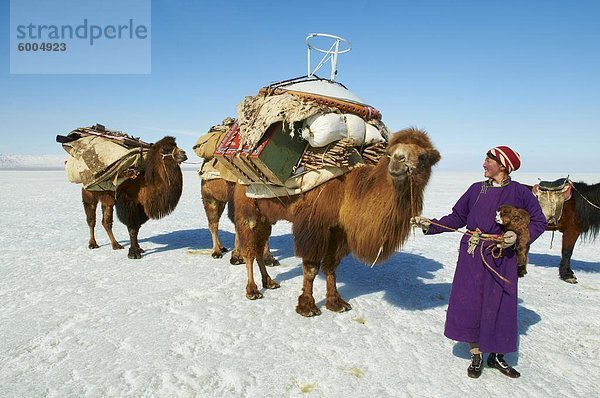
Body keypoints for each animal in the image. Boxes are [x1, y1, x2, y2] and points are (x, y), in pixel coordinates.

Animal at [234, 127, 440, 318]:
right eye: (389, 153)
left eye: (423, 156)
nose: (397, 161)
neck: (348, 191)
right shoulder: (313, 226)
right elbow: (311, 268)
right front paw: (307, 306)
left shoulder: (339, 230)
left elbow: (331, 266)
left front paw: (336, 302)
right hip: (248, 211)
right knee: (249, 250)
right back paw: (252, 290)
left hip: (265, 217)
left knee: (258, 247)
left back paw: (269, 282)